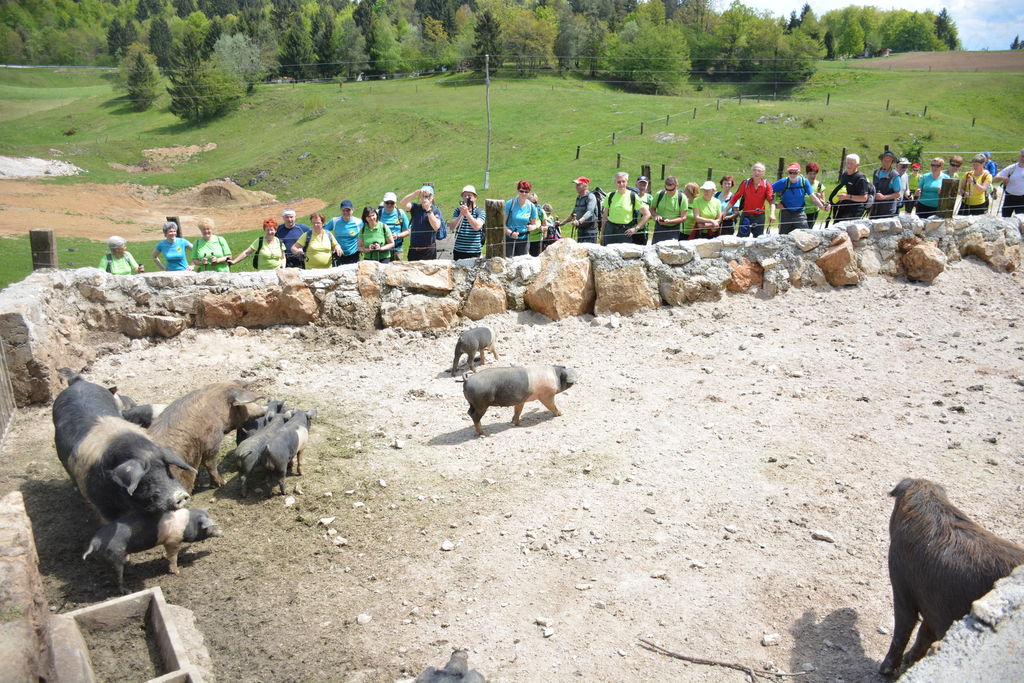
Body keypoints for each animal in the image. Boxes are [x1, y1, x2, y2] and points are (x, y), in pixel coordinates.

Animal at [83, 508, 222, 593]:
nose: (222, 532)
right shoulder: (172, 541)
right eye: (208, 527)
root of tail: (94, 542)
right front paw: (177, 572)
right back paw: (127, 590)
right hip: (115, 555)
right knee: (118, 575)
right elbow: (172, 557)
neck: (187, 524)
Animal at [879, 478, 1024, 676]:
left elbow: (904, 626)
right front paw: (909, 661)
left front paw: (884, 670)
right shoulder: (934, 604)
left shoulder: (901, 579)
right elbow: (924, 633)